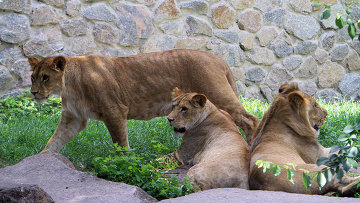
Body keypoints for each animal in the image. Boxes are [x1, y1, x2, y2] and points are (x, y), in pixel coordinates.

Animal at [29, 50, 258, 153]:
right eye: (33, 77)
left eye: (45, 77)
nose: (33, 93)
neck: (69, 86)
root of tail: (217, 58)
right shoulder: (73, 118)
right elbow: (54, 140)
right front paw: (40, 161)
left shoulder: (115, 111)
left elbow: (120, 143)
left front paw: (124, 163)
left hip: (217, 95)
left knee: (250, 119)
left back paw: (251, 147)